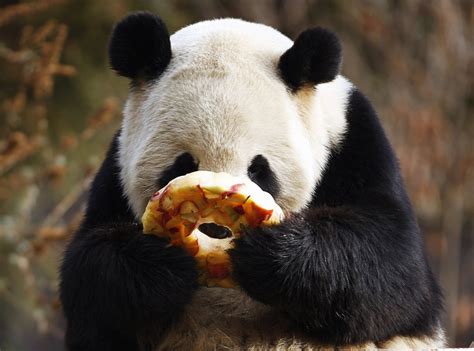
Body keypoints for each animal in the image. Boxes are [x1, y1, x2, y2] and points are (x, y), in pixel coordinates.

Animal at [58, 11, 444, 351]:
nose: (215, 230)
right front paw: (164, 262)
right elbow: (89, 278)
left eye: (259, 169)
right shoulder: (115, 171)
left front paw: (271, 252)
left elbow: (394, 269)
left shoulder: (354, 144)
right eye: (182, 165)